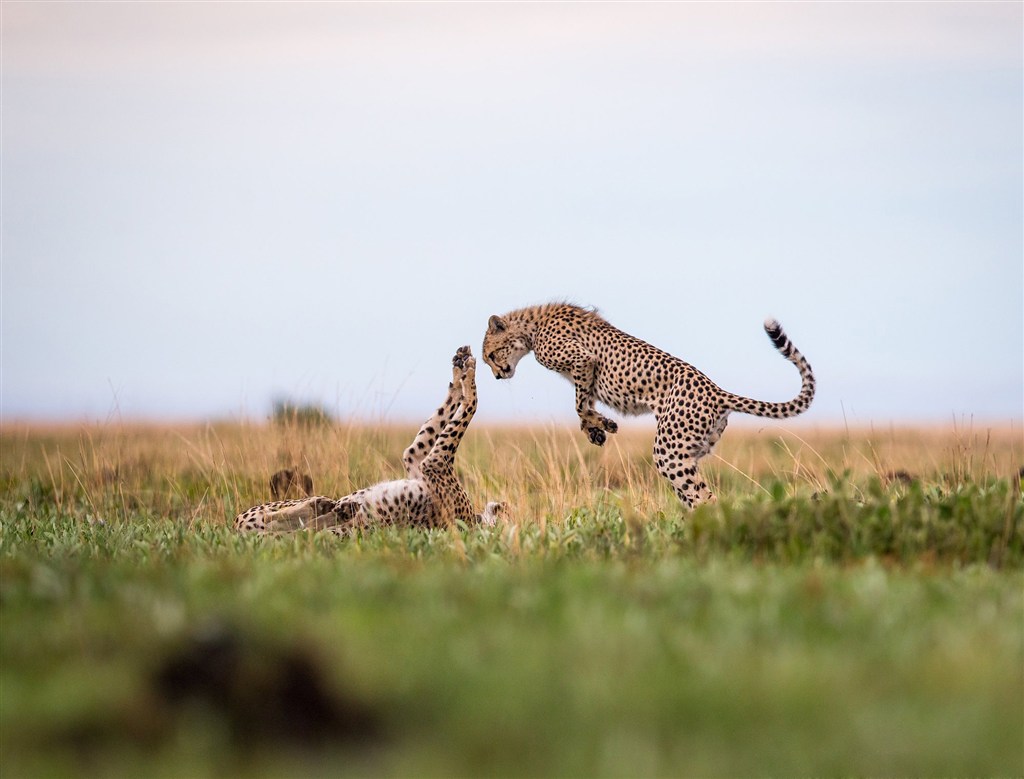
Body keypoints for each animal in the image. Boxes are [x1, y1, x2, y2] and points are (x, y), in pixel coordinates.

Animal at [233, 348, 503, 536]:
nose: (500, 505)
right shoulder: (417, 460)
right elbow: (438, 422)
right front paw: (460, 375)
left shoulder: (432, 464)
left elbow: (471, 406)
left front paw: (469, 375)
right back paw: (329, 508)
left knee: (292, 526)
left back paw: (326, 511)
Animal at [481, 300, 815, 507]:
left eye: (491, 355)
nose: (497, 375)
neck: (533, 327)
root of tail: (717, 390)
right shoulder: (584, 373)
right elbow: (585, 403)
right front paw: (597, 429)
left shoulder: (583, 361)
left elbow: (579, 404)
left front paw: (601, 425)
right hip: (690, 450)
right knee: (694, 494)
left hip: (669, 450)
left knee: (704, 497)